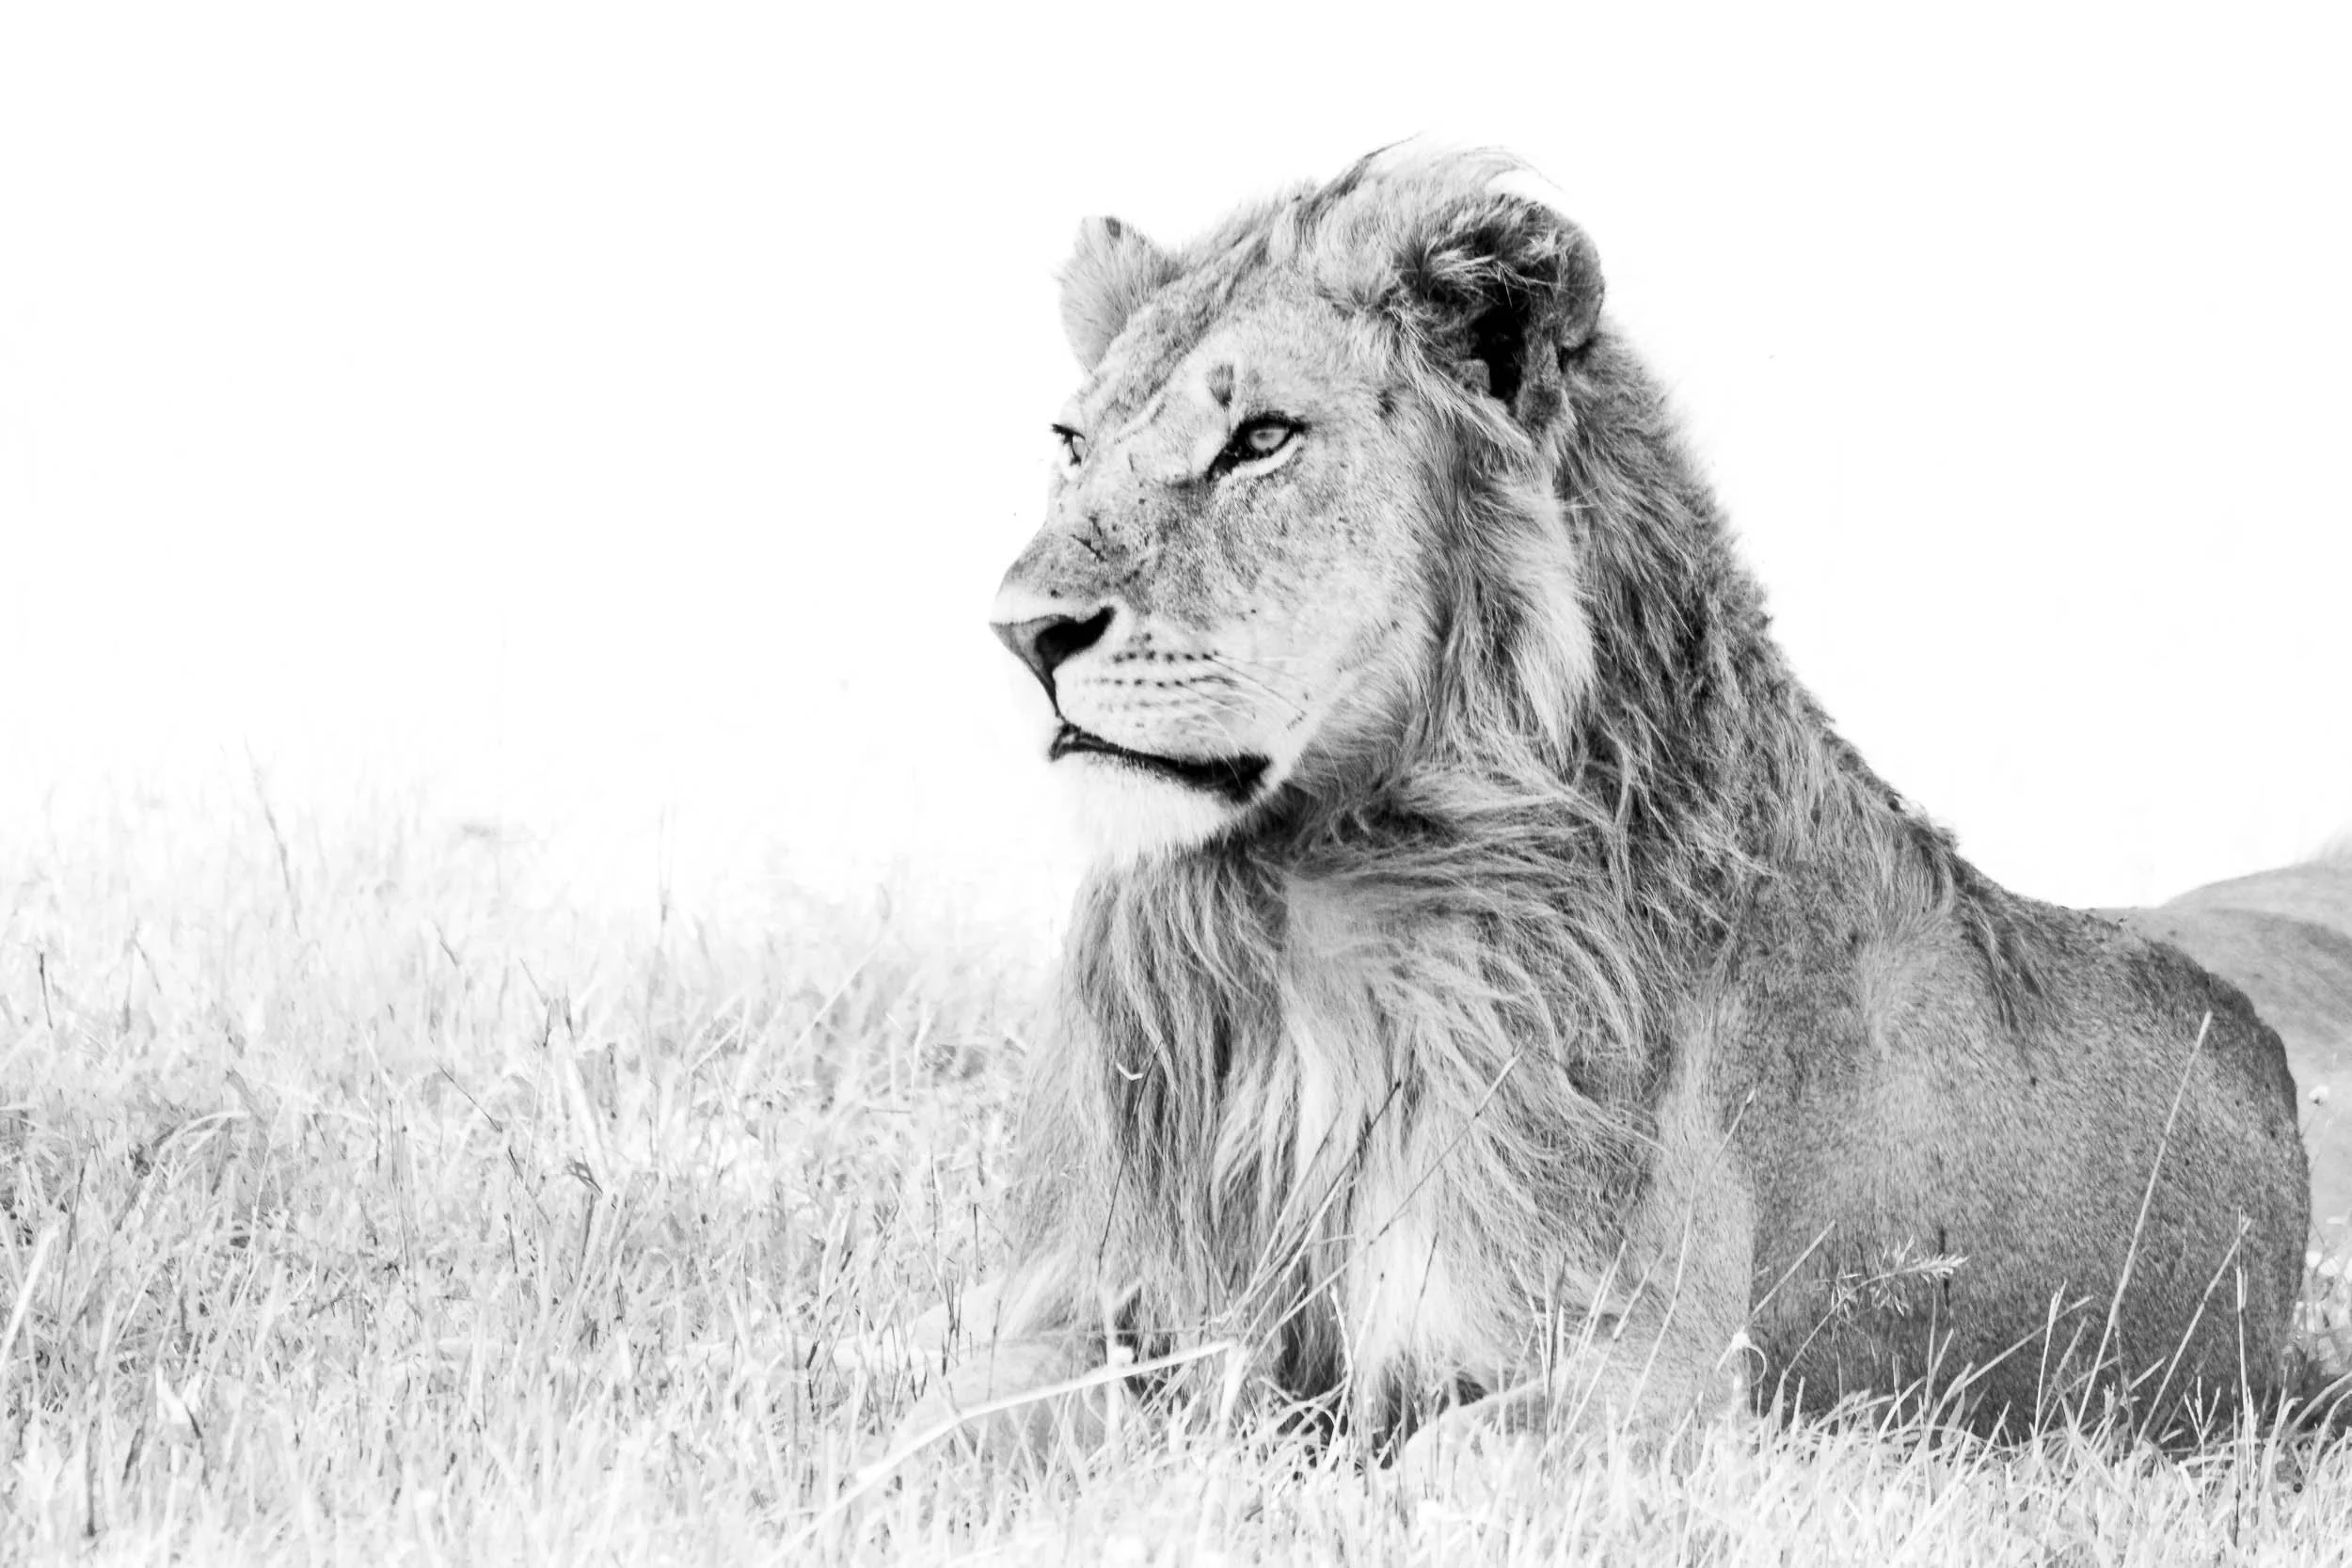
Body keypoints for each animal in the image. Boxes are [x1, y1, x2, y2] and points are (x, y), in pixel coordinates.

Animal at [897, 148, 2313, 1463]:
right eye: (1073, 444)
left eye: (1262, 439)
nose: (1023, 632)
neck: (1313, 895)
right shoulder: (1095, 1297)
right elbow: (940, 1409)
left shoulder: (1655, 1377)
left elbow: (1436, 1461)